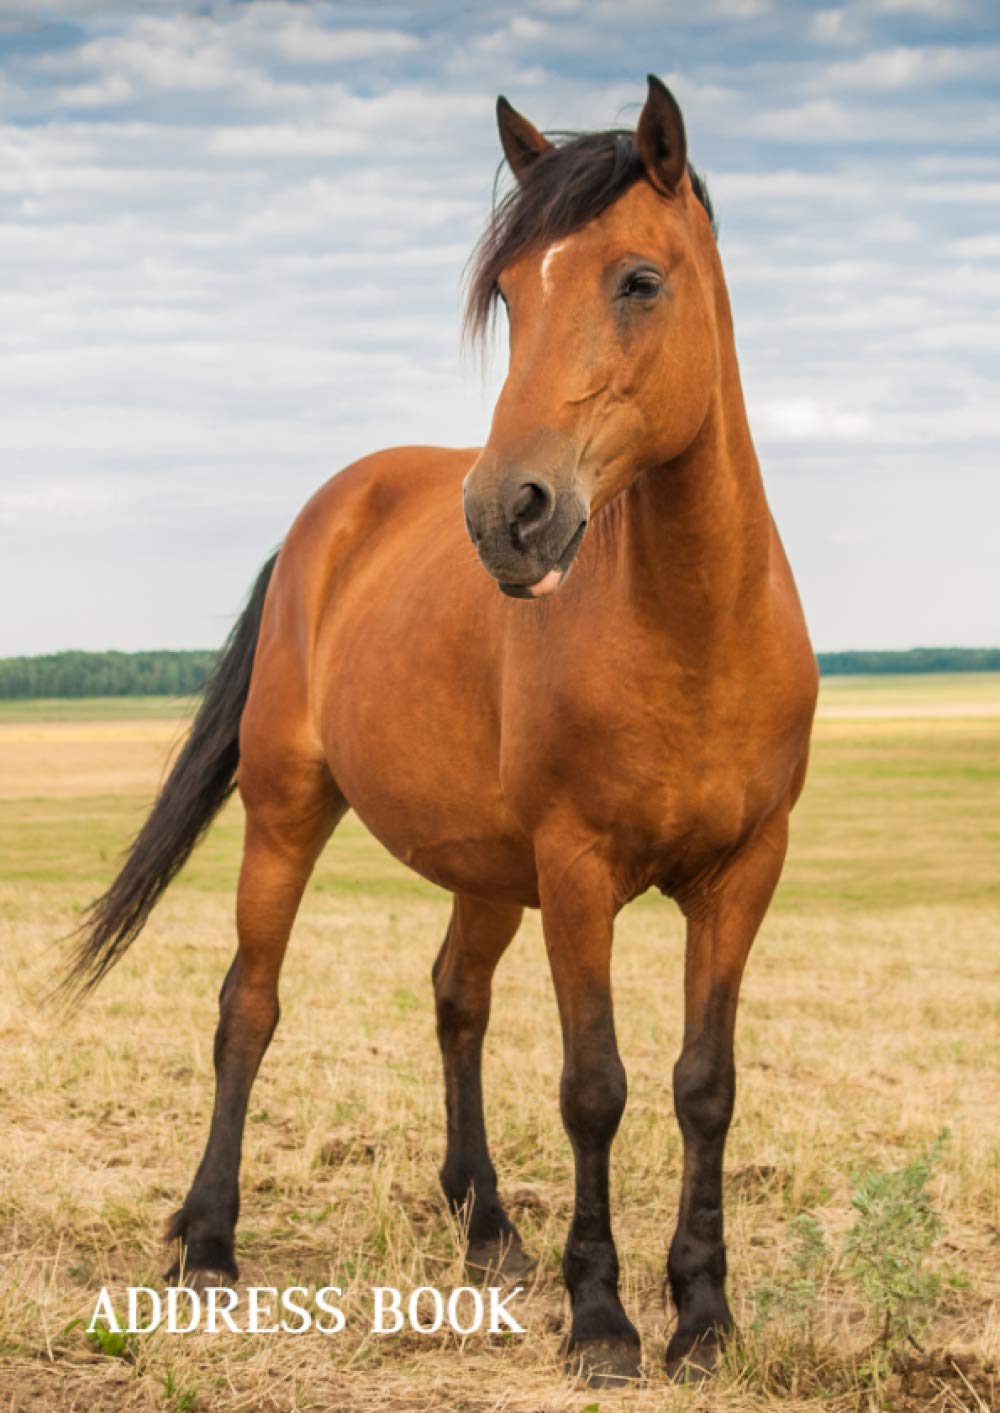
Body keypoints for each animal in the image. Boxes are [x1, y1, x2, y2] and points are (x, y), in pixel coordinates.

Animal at [63, 76, 818, 1386]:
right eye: (509, 295)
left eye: (638, 279)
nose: (506, 513)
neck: (695, 624)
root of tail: (331, 511)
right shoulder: (577, 871)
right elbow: (595, 1085)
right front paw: (604, 1319)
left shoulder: (741, 874)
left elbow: (704, 1086)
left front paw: (705, 1317)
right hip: (288, 815)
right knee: (247, 1007)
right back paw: (208, 1243)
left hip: (486, 868)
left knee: (455, 999)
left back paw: (488, 1229)